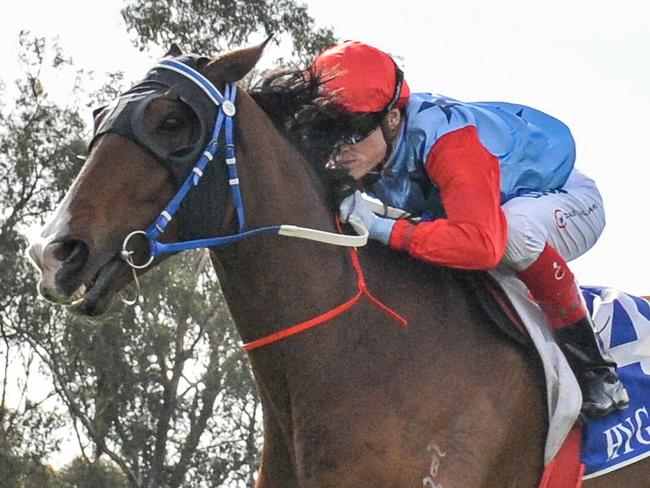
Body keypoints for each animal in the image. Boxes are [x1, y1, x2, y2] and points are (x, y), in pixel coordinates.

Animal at [26, 43, 648, 488]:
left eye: (172, 123)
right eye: (101, 114)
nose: (53, 252)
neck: (362, 346)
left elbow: (485, 238)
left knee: (518, 239)